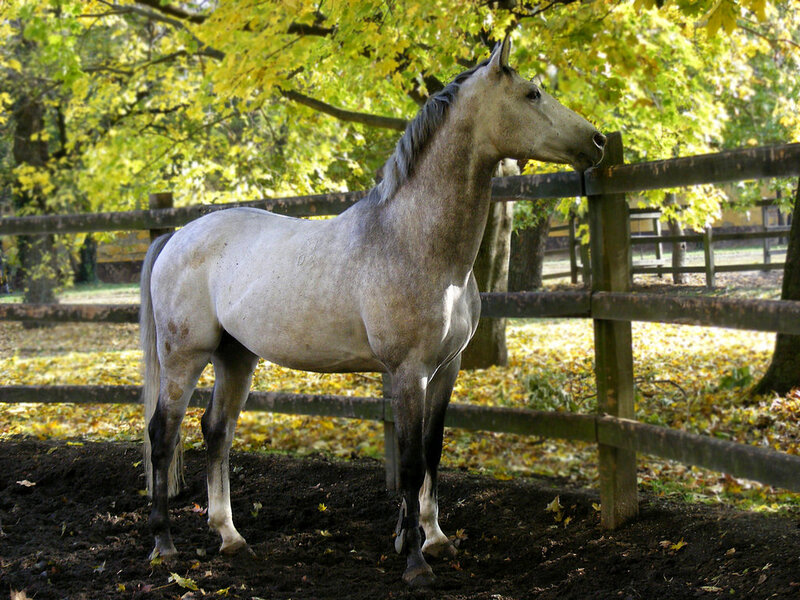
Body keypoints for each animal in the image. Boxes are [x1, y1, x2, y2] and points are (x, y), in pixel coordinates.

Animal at [140, 37, 605, 588]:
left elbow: (431, 451)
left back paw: (231, 537)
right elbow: (408, 462)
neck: (414, 242)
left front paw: (432, 539)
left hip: (237, 356)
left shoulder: (445, 370)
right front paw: (415, 563)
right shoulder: (408, 373)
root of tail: (176, 236)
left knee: (217, 430)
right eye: (532, 93)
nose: (598, 140)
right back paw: (164, 546)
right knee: (163, 434)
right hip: (184, 358)